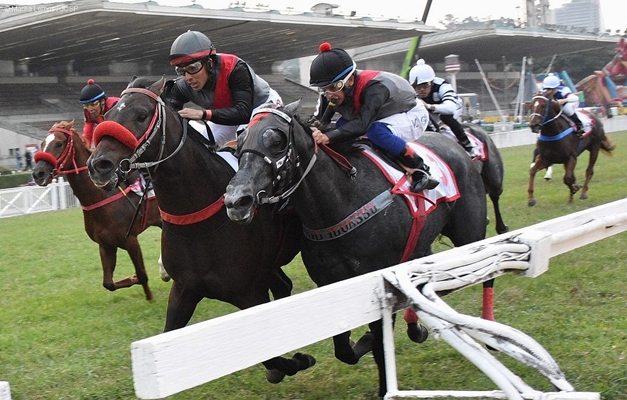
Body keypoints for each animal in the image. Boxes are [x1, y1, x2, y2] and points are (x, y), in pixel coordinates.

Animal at [31, 120, 163, 302]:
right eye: (42, 143)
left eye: (58, 143)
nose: (38, 173)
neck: (101, 196)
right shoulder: (106, 244)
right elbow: (108, 283)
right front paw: (132, 278)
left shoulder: (130, 240)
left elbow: (142, 274)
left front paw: (150, 298)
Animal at [86, 76, 316, 384]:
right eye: (108, 115)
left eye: (141, 115)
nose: (98, 165)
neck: (198, 221)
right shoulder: (185, 289)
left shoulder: (250, 293)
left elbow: (273, 363)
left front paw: (299, 359)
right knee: (283, 286)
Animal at [224, 101, 490, 398]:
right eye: (239, 142)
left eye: (277, 141)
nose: (236, 200)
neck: (341, 199)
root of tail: (454, 144)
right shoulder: (330, 281)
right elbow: (344, 350)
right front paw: (363, 340)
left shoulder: (376, 278)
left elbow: (380, 342)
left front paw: (385, 383)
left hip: (470, 233)